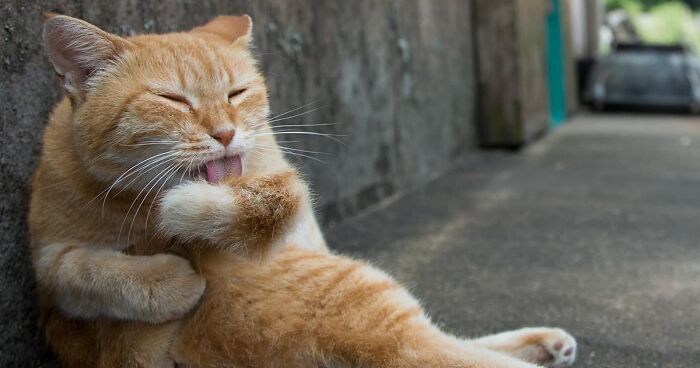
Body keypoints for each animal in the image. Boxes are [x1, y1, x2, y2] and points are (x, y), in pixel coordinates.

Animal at [30, 12, 580, 366]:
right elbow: (81, 270)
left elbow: (273, 197)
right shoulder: (47, 256)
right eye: (172, 100)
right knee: (443, 349)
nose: (225, 133)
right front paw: (170, 276)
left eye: (237, 93)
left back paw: (544, 343)